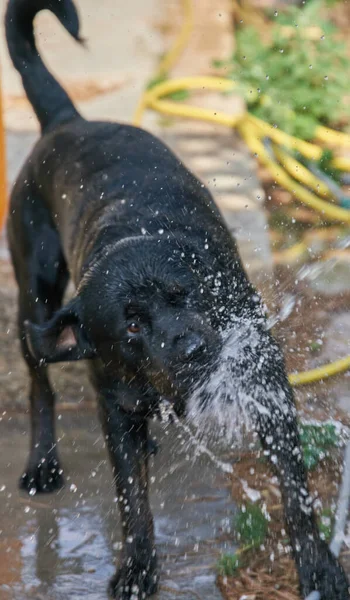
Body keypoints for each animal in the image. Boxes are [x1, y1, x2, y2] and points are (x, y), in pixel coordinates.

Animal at [5, 1, 350, 600]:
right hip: (37, 298)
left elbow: (295, 489)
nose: (191, 347)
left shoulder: (263, 378)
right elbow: (132, 500)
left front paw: (317, 565)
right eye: (131, 326)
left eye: (184, 294)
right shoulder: (115, 406)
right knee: (40, 385)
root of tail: (67, 121)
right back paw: (43, 463)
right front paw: (137, 569)